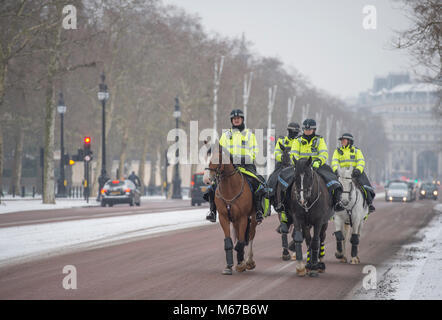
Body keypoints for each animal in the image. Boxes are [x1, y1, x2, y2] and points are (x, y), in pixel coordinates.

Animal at [204, 142, 258, 276]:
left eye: (215, 159)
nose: (206, 180)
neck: (230, 189)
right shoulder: (224, 218)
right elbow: (229, 242)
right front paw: (229, 266)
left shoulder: (243, 218)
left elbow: (242, 242)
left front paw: (241, 265)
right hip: (235, 221)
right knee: (240, 237)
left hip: (253, 217)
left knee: (250, 236)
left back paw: (249, 261)